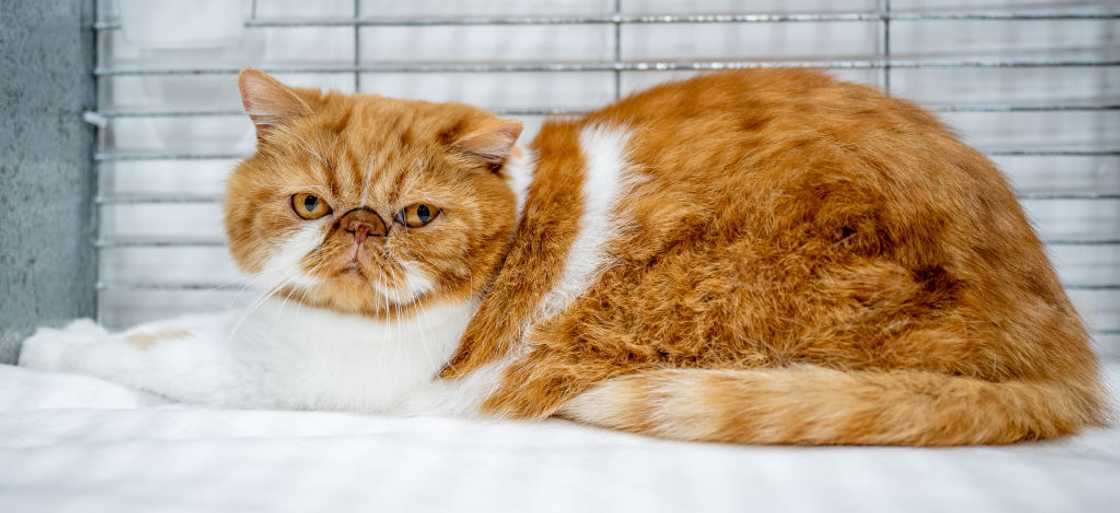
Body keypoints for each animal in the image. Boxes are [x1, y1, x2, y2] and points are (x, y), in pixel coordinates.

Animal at [17, 67, 1102, 445]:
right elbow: (165, 327)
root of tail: (1069, 360)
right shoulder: (252, 326)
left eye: (414, 215)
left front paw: (46, 347)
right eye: (312, 205)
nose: (359, 229)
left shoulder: (276, 379)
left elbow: (143, 353)